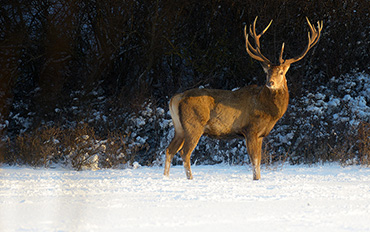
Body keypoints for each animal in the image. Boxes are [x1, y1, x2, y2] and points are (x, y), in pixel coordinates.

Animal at [163, 16, 322, 179]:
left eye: (281, 72)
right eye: (267, 72)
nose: (270, 83)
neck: (268, 110)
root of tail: (176, 98)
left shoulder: (260, 135)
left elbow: (259, 161)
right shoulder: (250, 129)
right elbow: (254, 161)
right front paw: (256, 180)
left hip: (179, 127)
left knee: (169, 150)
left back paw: (166, 177)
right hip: (193, 124)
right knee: (184, 152)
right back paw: (190, 179)